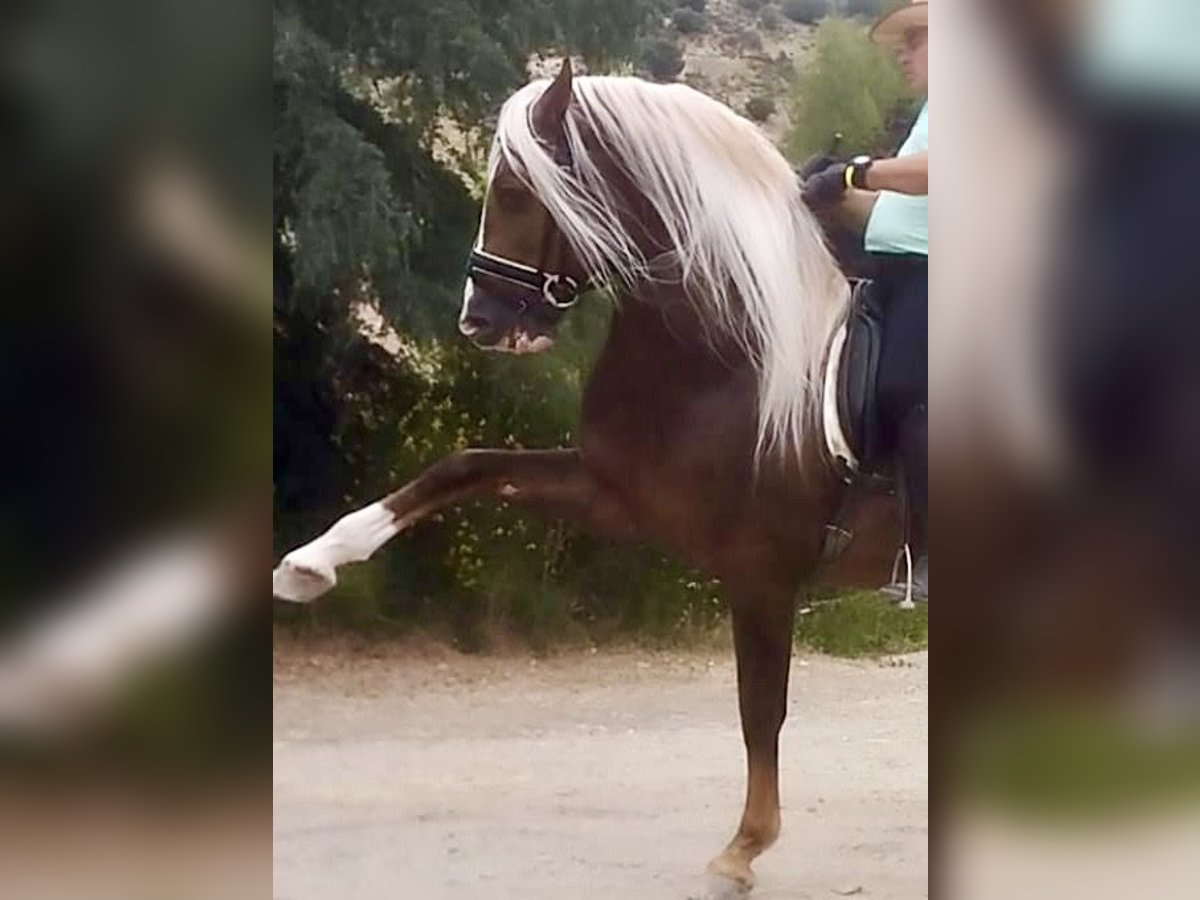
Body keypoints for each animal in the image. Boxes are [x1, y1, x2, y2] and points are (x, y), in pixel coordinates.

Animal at [276, 60, 902, 897]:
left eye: (513, 191)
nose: (479, 321)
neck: (727, 360)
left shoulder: (761, 573)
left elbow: (758, 709)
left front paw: (742, 848)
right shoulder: (618, 496)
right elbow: (465, 467)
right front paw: (312, 562)